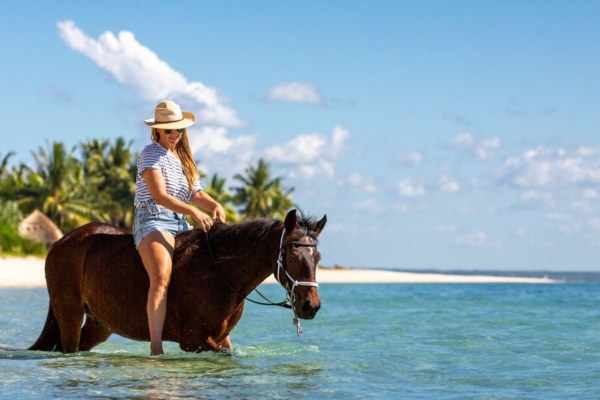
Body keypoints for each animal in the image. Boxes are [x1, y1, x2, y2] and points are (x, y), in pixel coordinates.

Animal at [28, 209, 326, 354]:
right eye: (292, 253)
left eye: (318, 257)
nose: (310, 306)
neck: (221, 273)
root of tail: (62, 242)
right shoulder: (193, 340)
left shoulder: (220, 338)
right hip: (69, 313)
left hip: (100, 324)